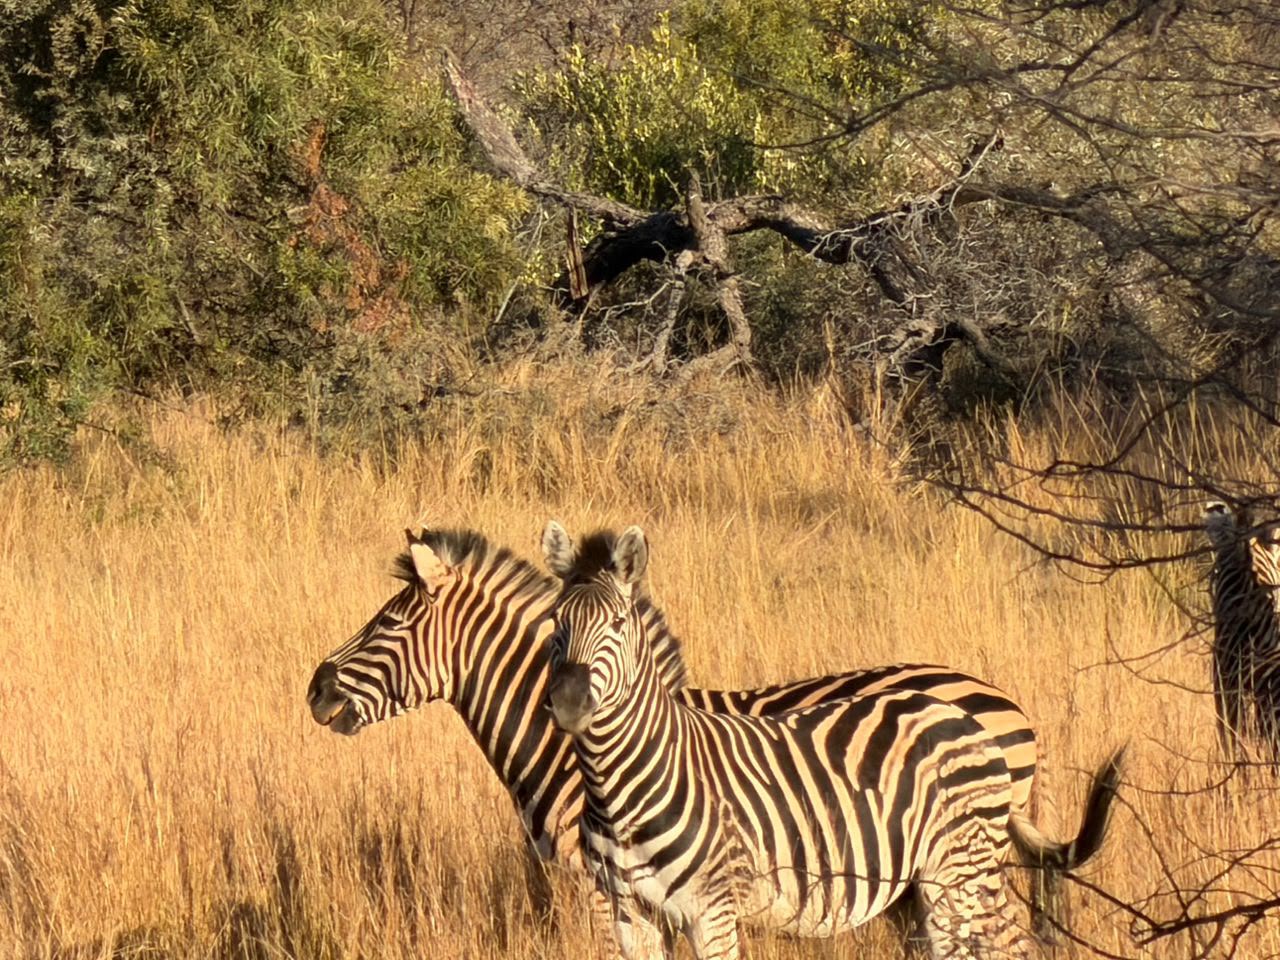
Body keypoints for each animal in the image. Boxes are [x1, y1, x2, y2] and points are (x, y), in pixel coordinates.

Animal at [543, 522, 1124, 960]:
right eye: (556, 623)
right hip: (928, 886)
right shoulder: (630, 915)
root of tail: (967, 716)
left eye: (619, 623)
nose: (569, 702)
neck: (619, 792)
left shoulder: (713, 910)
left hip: (962, 873)